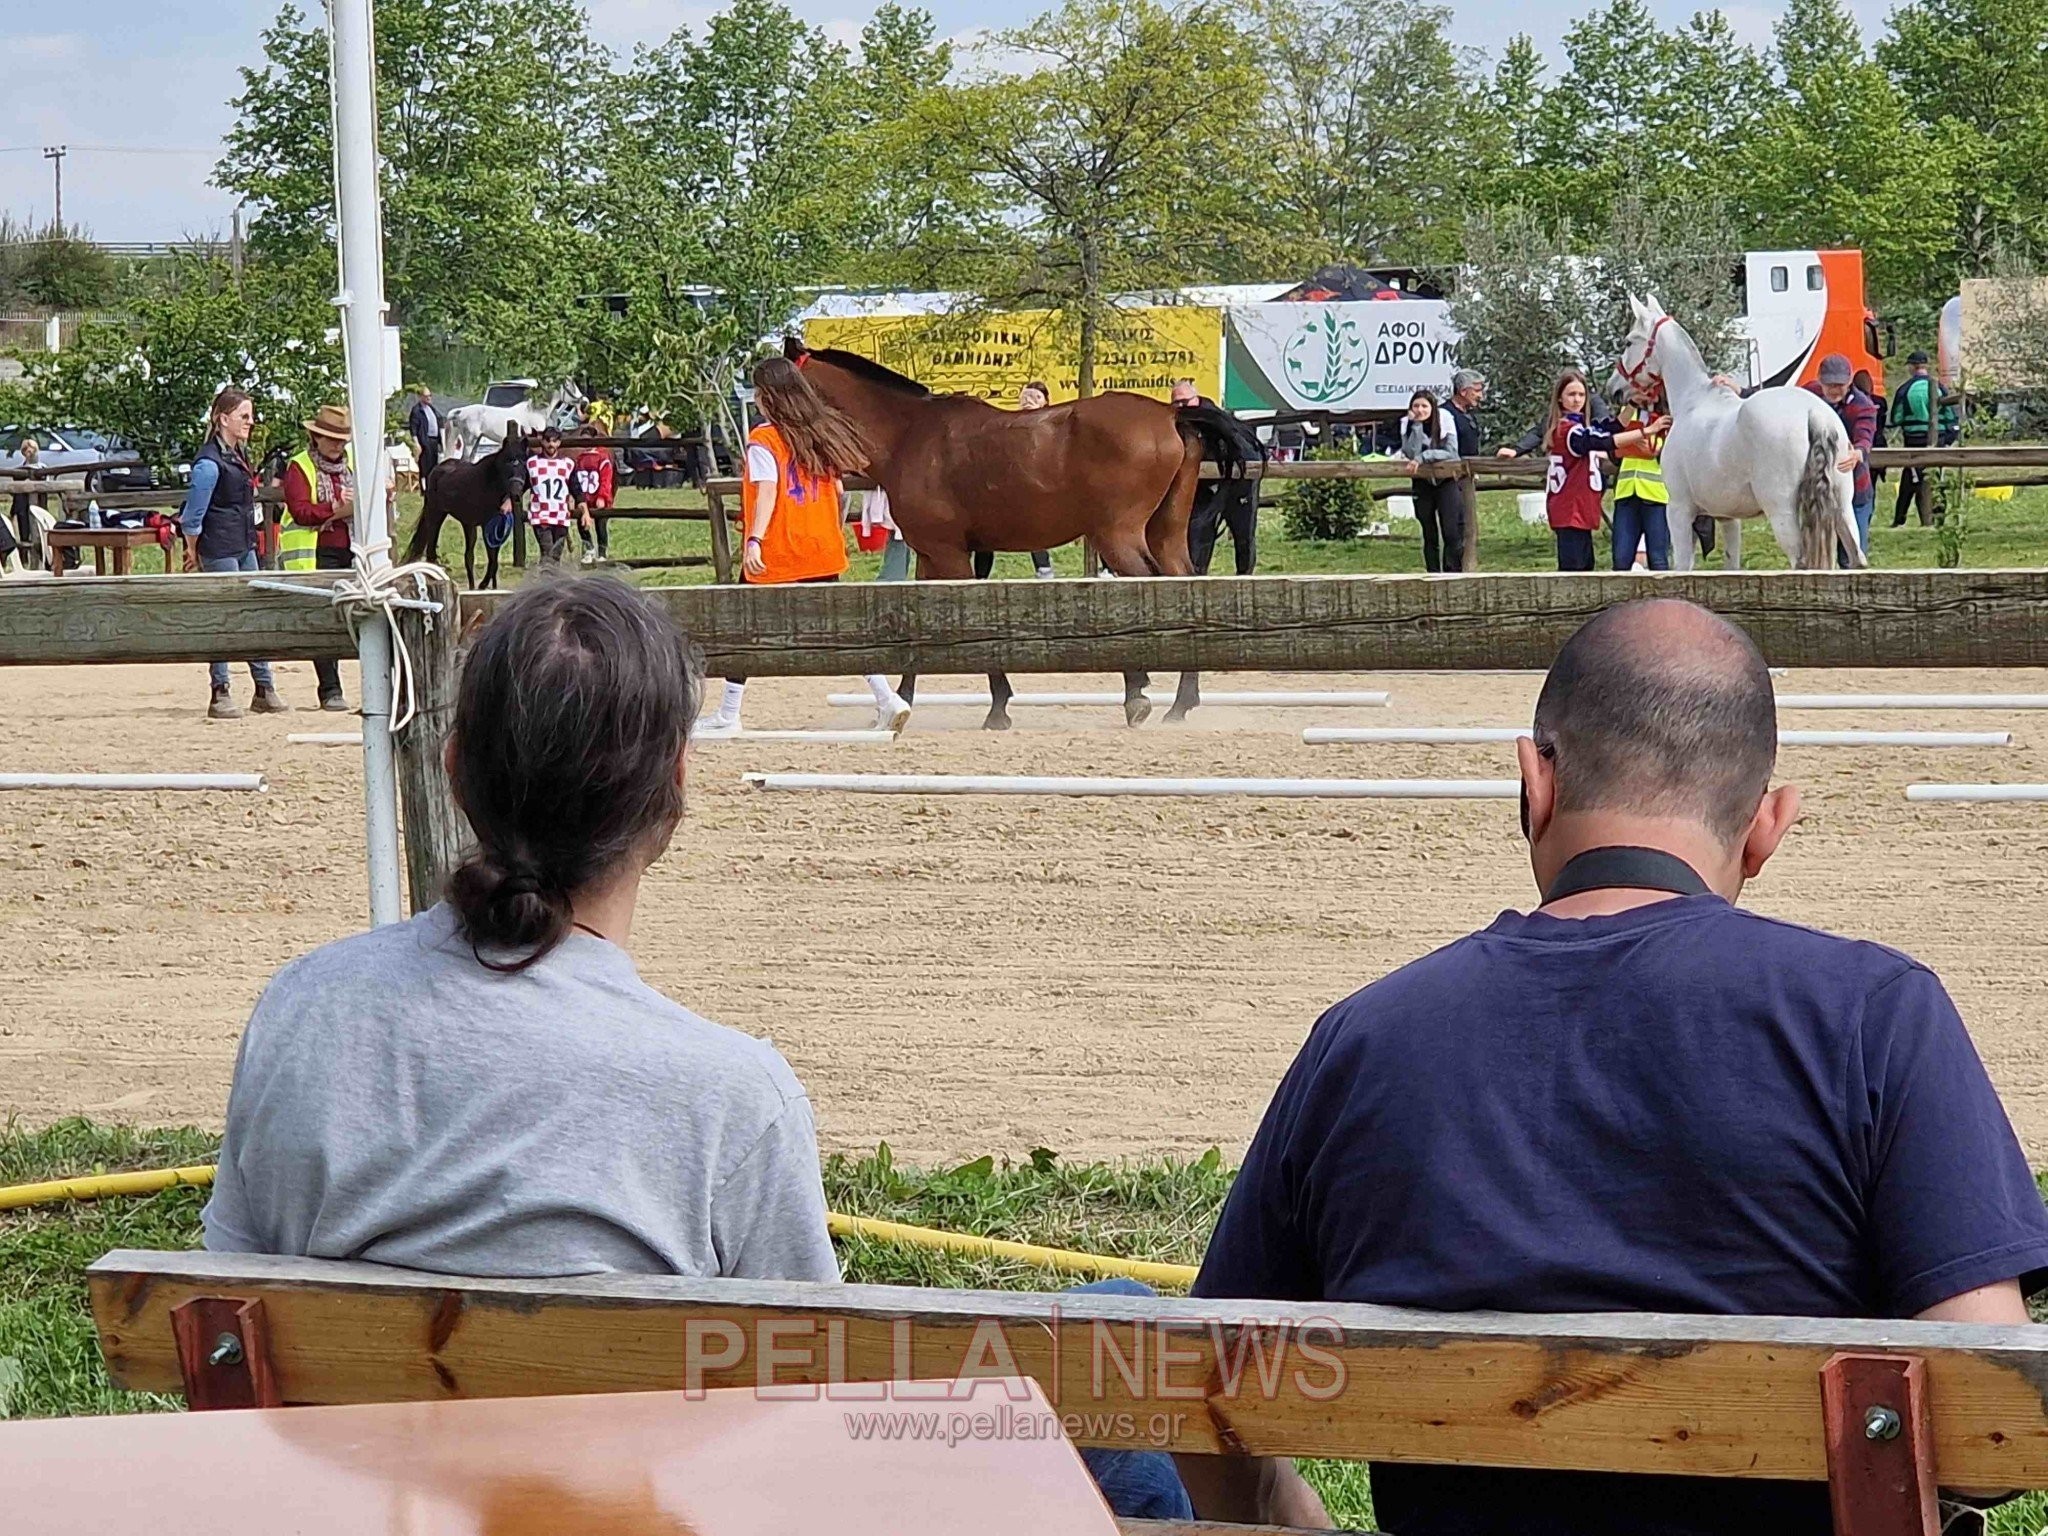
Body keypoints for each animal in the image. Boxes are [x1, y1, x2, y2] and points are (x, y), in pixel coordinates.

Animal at [440, 380, 585, 462]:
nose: (584, 401)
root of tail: (460, 411)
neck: (537, 411)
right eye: (569, 387)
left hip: (476, 440)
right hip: (470, 441)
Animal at [786, 342, 1253, 733]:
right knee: (1187, 586)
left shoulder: (950, 555)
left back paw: (1139, 695)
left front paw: (997, 708)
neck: (909, 435)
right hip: (1164, 534)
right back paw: (1179, 702)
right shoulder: (932, 556)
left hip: (1118, 538)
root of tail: (1171, 415)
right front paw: (902, 703)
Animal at [1605, 294, 1867, 573]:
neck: (1692, 400)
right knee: (1857, 557)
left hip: (1782, 514)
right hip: (1842, 508)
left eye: (1629, 341)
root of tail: (1813, 412)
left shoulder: (1679, 510)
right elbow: (1732, 565)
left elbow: (1683, 566)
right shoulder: (1728, 518)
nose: (1613, 388)